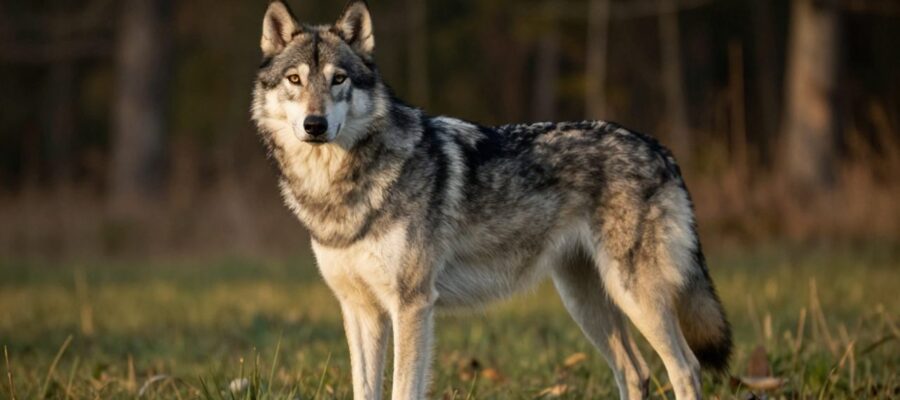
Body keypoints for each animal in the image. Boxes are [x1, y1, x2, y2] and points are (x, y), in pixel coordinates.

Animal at [251, 1, 732, 399]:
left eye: (339, 79)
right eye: (295, 80)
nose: (315, 125)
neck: (340, 189)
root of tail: (658, 147)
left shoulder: (412, 305)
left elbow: (403, 389)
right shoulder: (359, 310)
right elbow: (364, 389)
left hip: (635, 297)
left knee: (685, 369)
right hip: (585, 301)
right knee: (635, 373)